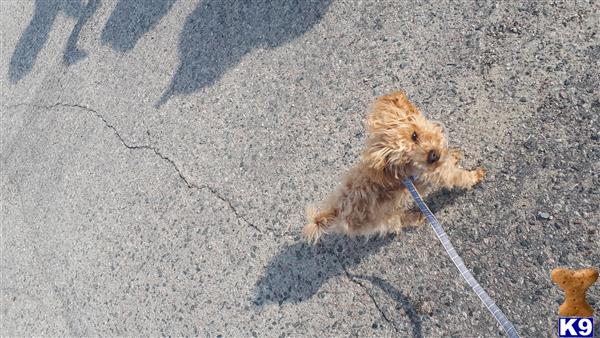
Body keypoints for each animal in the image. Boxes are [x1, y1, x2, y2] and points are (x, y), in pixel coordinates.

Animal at [304, 91, 488, 242]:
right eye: (406, 160)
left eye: (414, 135)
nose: (432, 157)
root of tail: (335, 212)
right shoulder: (439, 174)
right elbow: (459, 177)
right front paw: (476, 175)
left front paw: (453, 155)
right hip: (383, 219)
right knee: (398, 222)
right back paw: (416, 217)